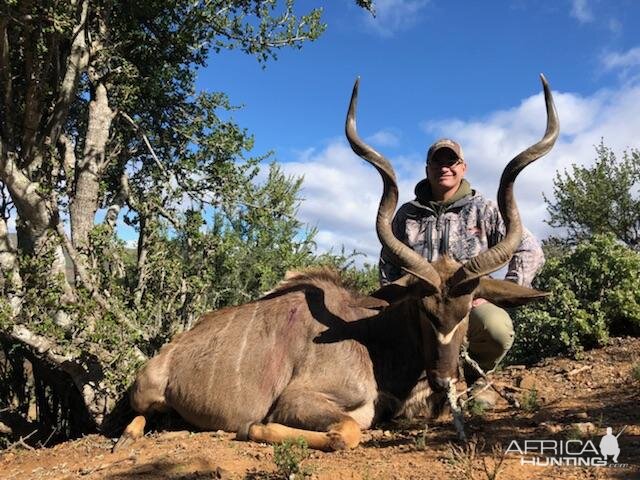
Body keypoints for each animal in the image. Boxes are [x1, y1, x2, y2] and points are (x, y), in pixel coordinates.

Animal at [115, 76, 560, 454]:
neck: (375, 338)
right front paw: (252, 427)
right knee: (136, 415)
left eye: (467, 311)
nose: (444, 380)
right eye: (423, 309)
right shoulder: (299, 399)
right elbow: (345, 431)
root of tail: (170, 350)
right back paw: (128, 436)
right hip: (147, 391)